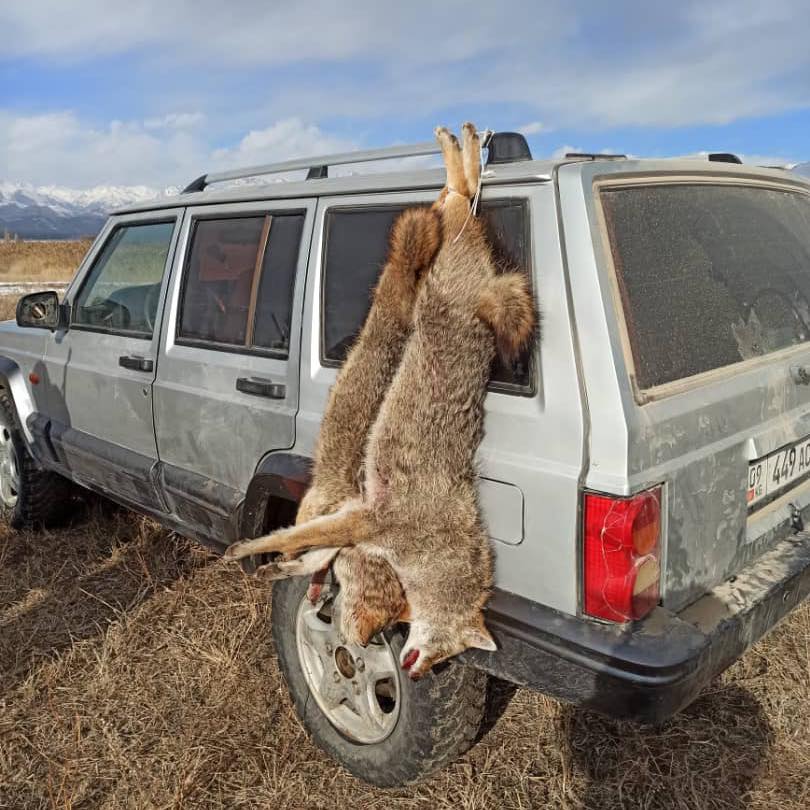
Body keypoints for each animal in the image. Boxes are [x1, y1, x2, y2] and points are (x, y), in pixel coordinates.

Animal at [225, 123, 536, 679]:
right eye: (446, 647)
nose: (414, 670)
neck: (431, 555)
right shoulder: (364, 518)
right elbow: (286, 537)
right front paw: (254, 550)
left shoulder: (354, 523)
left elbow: (309, 552)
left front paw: (281, 567)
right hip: (447, 253)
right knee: (457, 197)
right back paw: (462, 147)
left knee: (457, 195)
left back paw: (465, 152)